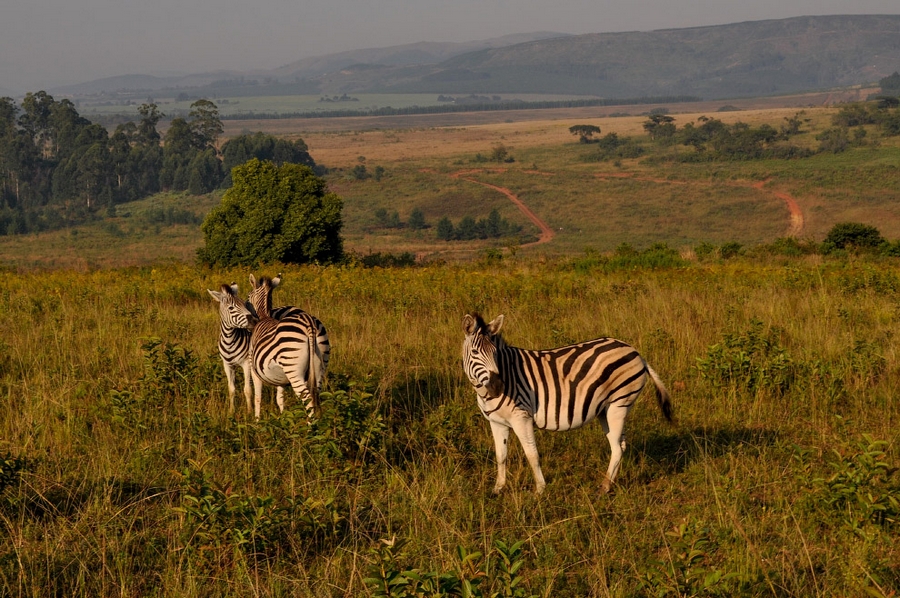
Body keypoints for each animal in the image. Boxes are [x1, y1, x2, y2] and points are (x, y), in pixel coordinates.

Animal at [246, 276, 330, 422]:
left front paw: (256, 421)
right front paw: (283, 419)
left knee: (307, 398)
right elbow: (280, 399)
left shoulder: (253, 368)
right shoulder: (280, 377)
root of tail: (309, 323)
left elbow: (257, 397)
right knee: (315, 394)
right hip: (320, 365)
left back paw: (310, 427)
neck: (264, 317)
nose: (250, 324)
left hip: (293, 368)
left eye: (248, 297)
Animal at [460, 314, 672, 496]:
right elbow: (501, 456)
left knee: (617, 448)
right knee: (620, 445)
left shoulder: (521, 417)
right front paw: (498, 489)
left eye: (495, 353)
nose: (498, 387)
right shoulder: (496, 422)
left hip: (619, 404)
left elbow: (532, 455)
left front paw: (540, 490)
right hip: (606, 409)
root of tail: (635, 351)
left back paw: (604, 487)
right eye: (475, 352)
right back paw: (609, 483)